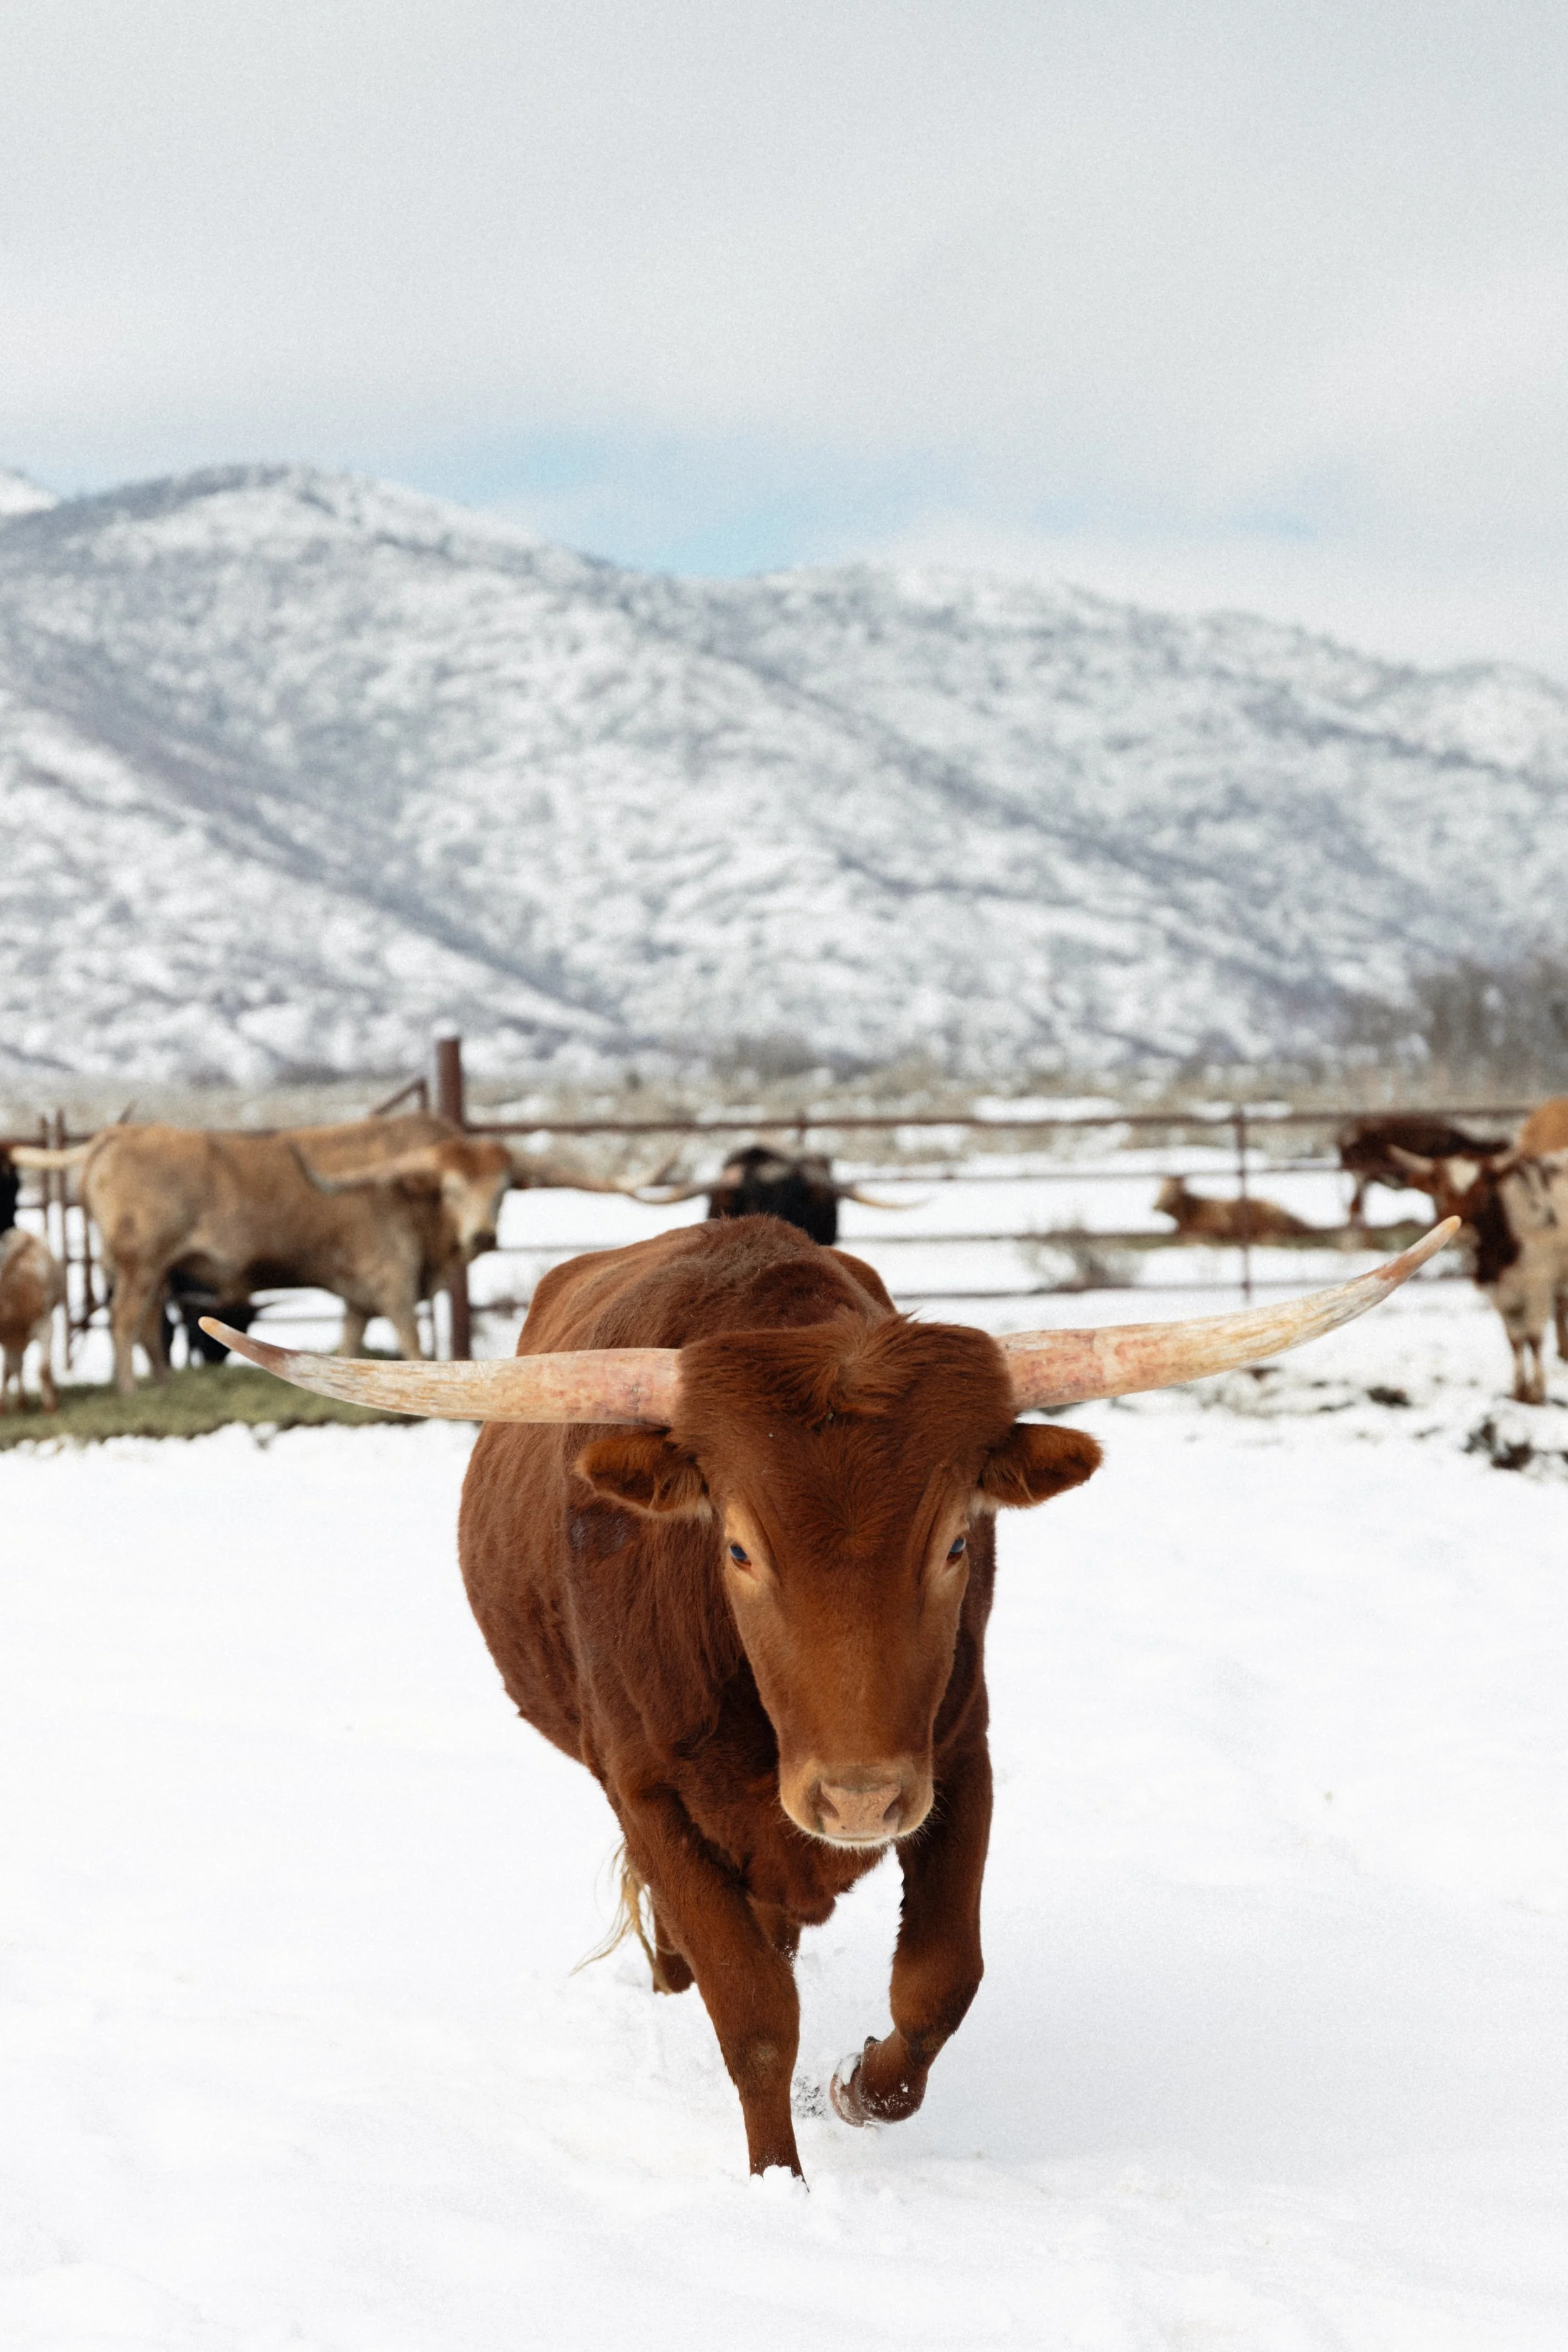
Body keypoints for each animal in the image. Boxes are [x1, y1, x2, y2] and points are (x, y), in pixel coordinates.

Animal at [0, 1227, 66, 1412]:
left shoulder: (46, 1325)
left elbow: (43, 1369)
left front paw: (51, 1407)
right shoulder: (8, 1338)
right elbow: (8, 1370)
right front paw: (3, 1407)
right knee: (16, 1367)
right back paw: (22, 1402)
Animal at [14, 1113, 633, 1396]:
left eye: (503, 1190)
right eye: (453, 1190)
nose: (483, 1235)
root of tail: (116, 1135)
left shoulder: (359, 1298)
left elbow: (350, 1345)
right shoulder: (392, 1281)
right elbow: (412, 1342)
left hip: (152, 1270)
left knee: (145, 1326)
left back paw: (165, 1383)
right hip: (140, 1264)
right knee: (125, 1323)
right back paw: (131, 1388)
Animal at [208, 1214, 1452, 2177]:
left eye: (957, 1541)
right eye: (739, 1548)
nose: (857, 1799)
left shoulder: (958, 1754)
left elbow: (940, 1978)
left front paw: (861, 2089)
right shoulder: (647, 1791)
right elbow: (754, 2016)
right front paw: (781, 2186)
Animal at [1389, 1144, 1568, 1402]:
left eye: (1483, 1191)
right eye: (1442, 1191)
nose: (1465, 1235)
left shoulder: (1538, 1286)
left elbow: (1534, 1338)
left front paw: (1536, 1393)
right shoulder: (1502, 1294)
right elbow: (1515, 1340)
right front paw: (1519, 1390)